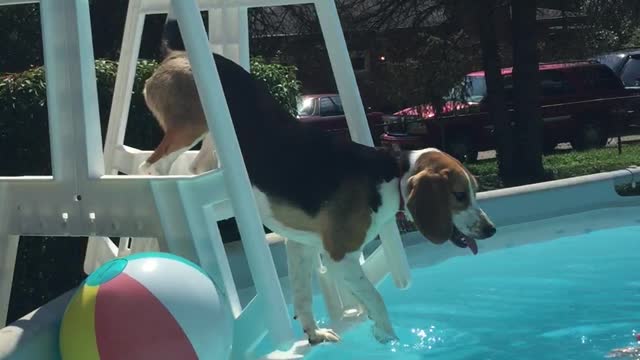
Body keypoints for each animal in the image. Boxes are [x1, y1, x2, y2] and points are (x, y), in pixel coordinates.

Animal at [140, 18, 498, 344]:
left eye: (474, 192)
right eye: (459, 195)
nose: (490, 230)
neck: (390, 174)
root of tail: (176, 54)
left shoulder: (300, 245)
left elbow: (302, 295)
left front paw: (314, 333)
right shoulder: (341, 257)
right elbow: (375, 297)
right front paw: (387, 335)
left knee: (191, 164)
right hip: (189, 126)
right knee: (150, 166)